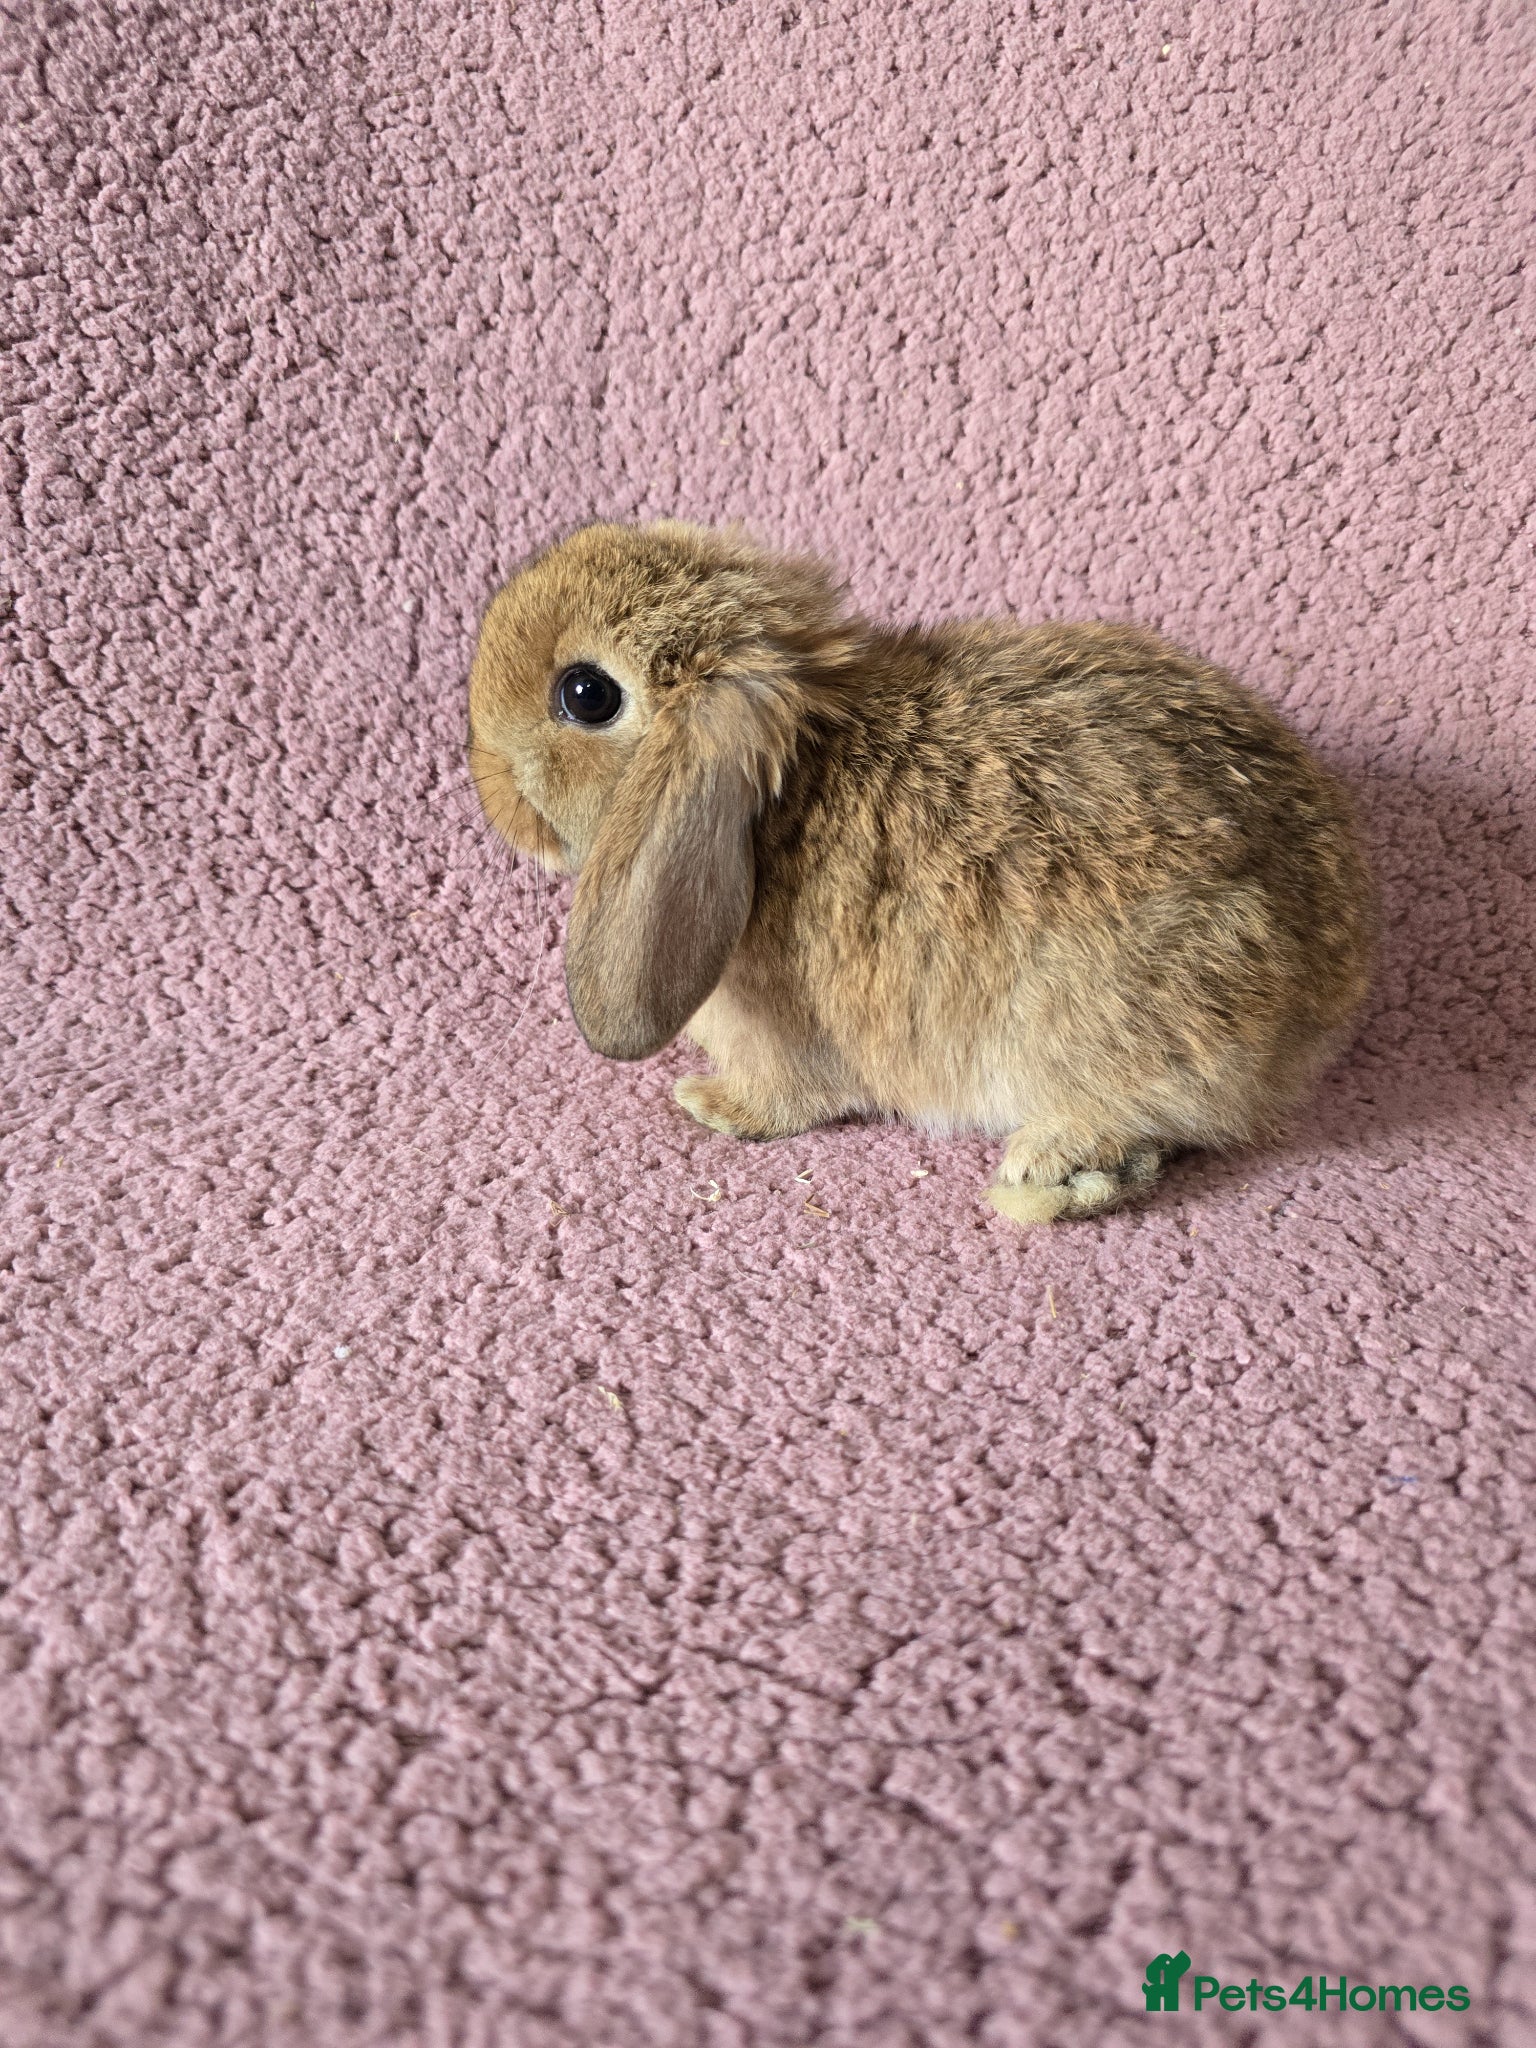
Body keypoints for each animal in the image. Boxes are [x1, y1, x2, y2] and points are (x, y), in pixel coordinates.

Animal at [467, 519, 1375, 1222]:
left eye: (585, 694)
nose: (484, 776)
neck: (786, 792)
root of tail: (1323, 1002)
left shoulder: (786, 1049)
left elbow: (784, 1102)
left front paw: (708, 1106)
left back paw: (1046, 1169)